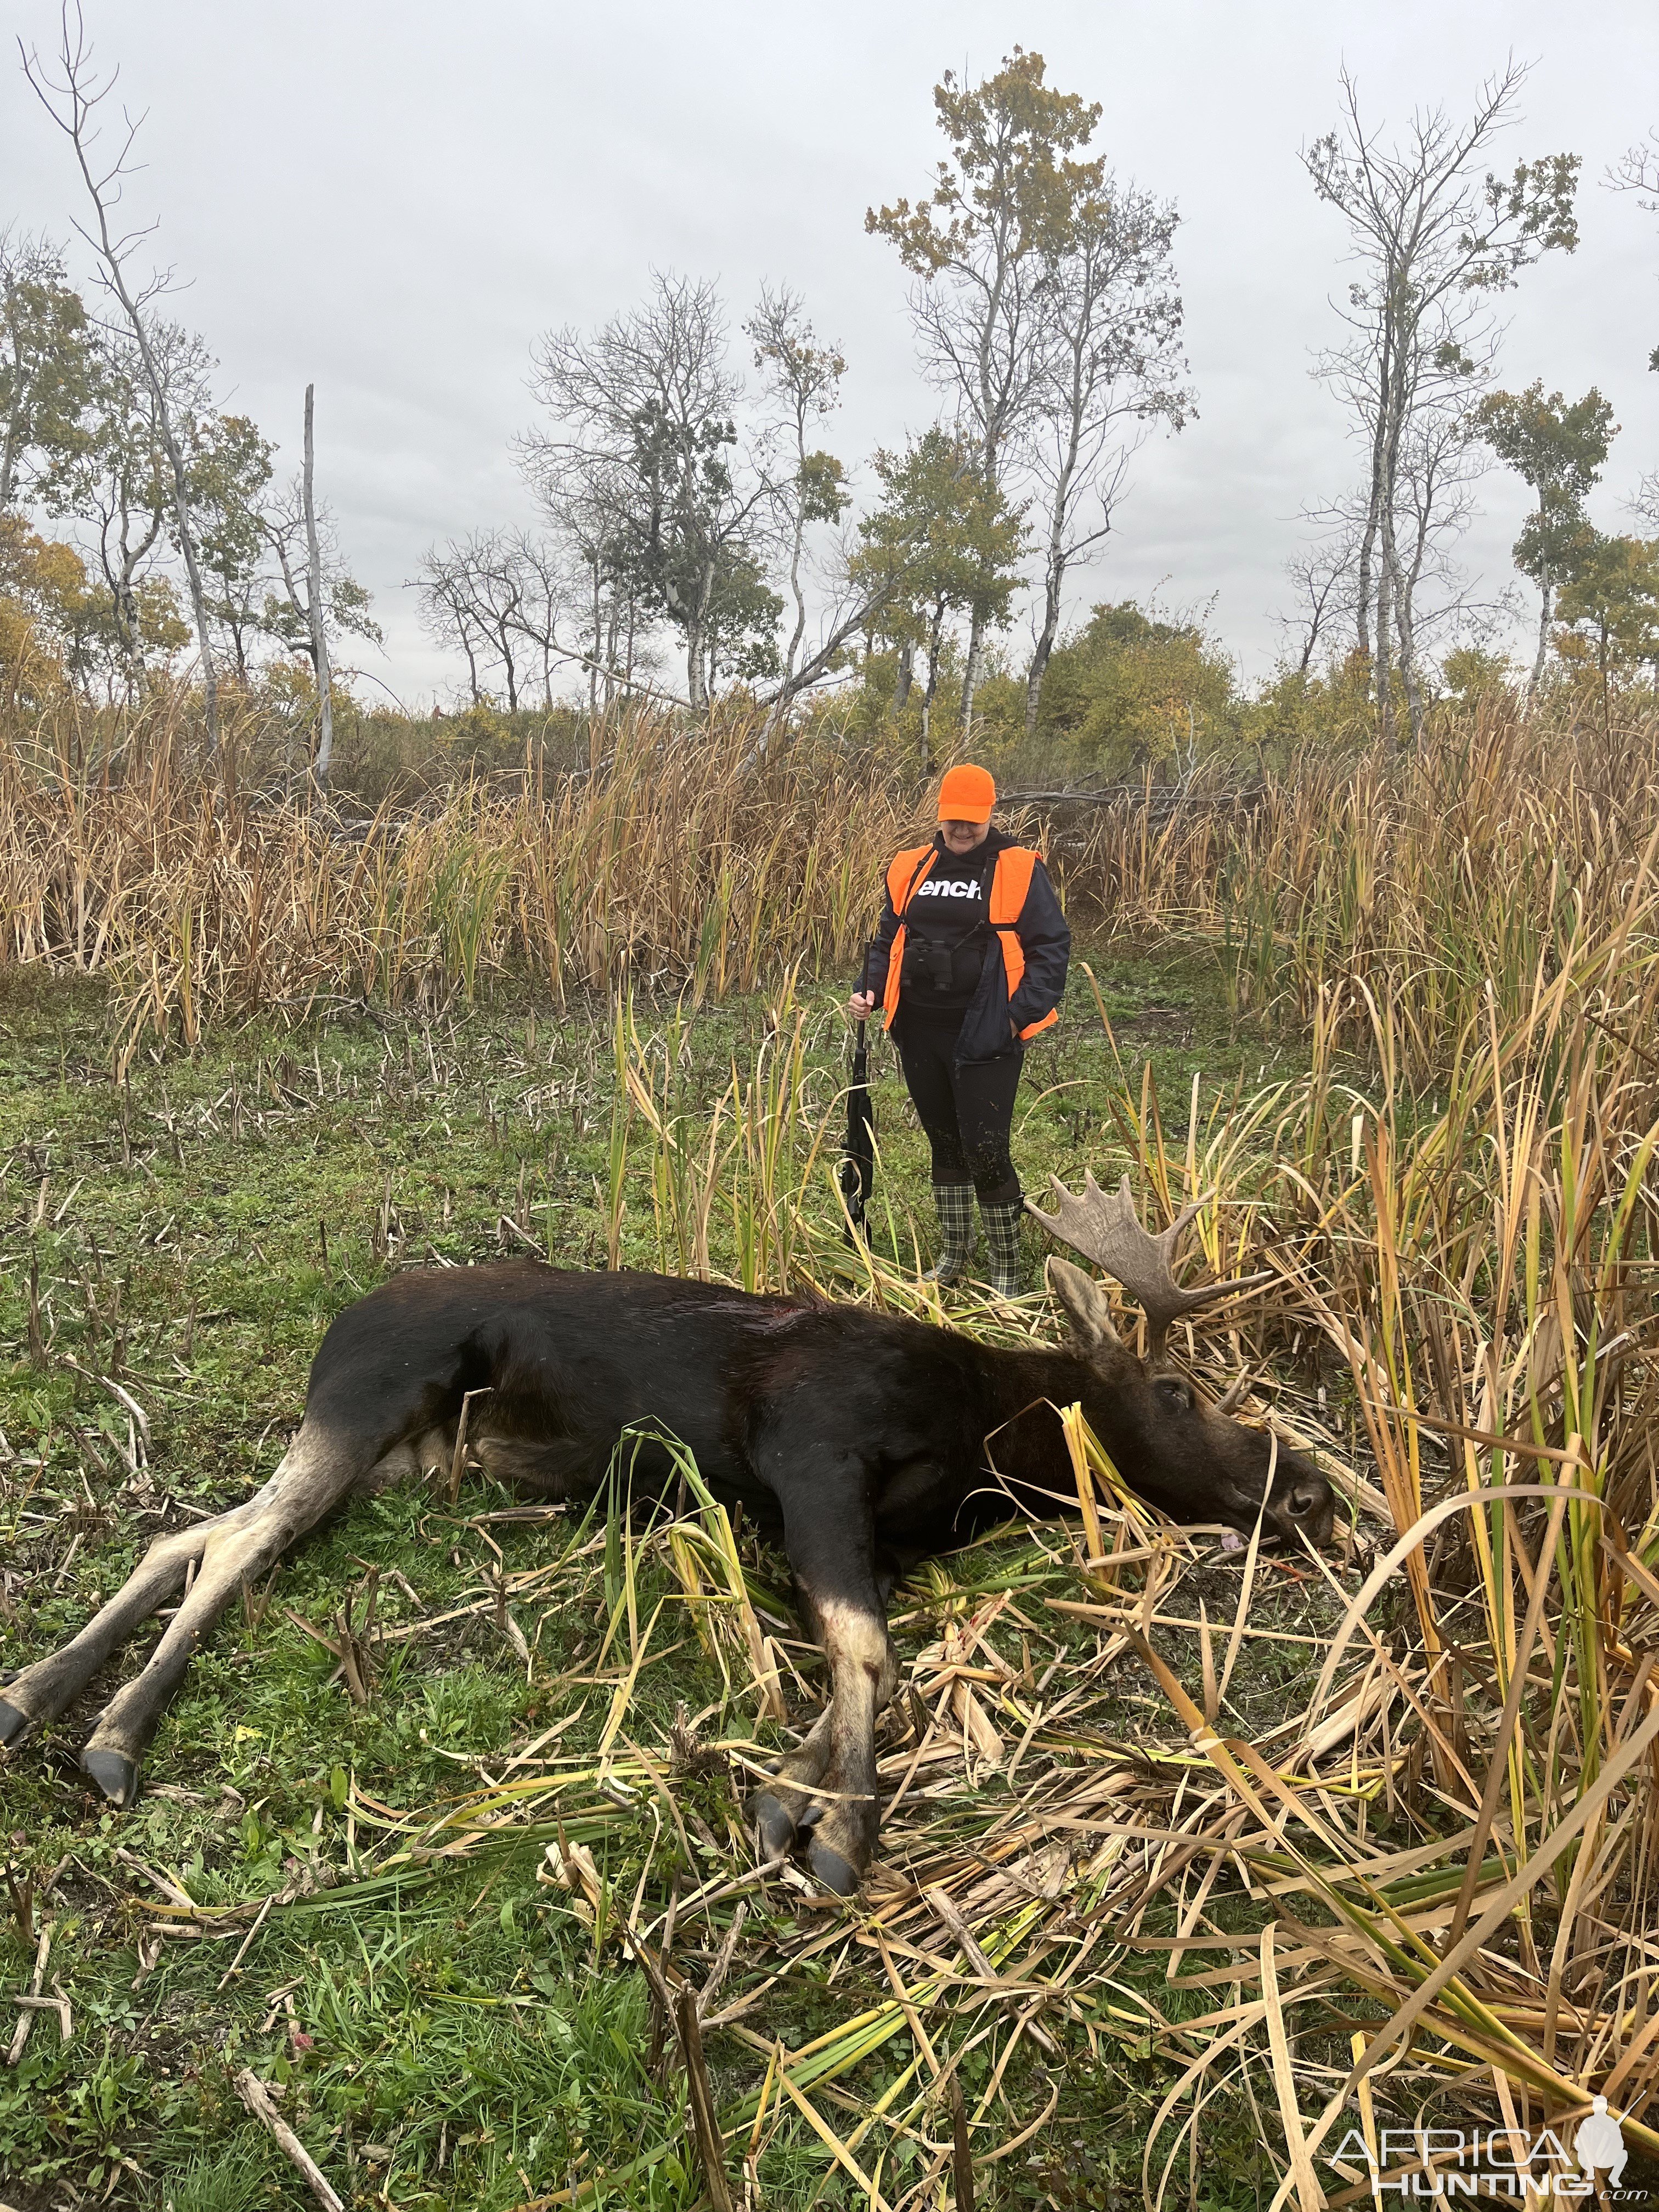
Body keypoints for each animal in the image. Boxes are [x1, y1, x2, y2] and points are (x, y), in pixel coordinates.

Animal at [0, 1186, 1336, 1893]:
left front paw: (787, 1796)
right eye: (1175, 1393)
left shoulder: (856, 1530)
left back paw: (38, 1694)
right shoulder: (814, 1451)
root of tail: (336, 1322)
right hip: (369, 1398)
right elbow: (873, 1655)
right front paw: (838, 1833)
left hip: (395, 1453)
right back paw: (111, 1736)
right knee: (234, 1544)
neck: (981, 1443)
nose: (1313, 1491)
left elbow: (851, 1659)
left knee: (194, 1531)